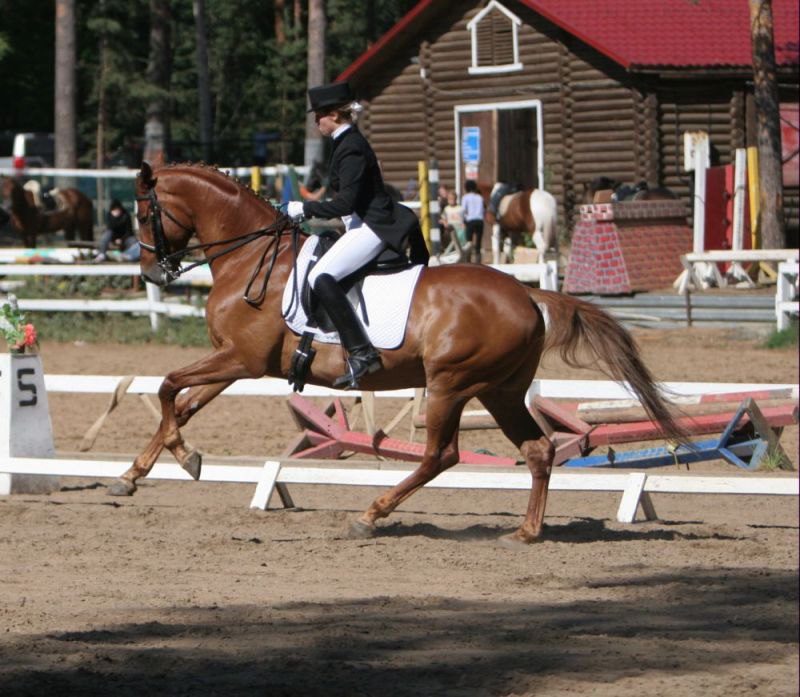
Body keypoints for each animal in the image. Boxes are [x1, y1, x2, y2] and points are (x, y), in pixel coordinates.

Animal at [114, 162, 688, 544]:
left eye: (143, 213)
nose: (150, 274)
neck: (252, 256)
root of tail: (527, 294)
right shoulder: (236, 361)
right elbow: (181, 403)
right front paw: (144, 471)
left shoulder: (243, 360)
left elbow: (167, 385)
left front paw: (178, 457)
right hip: (501, 391)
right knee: (538, 449)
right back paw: (526, 531)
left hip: (450, 384)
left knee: (441, 455)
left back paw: (371, 514)